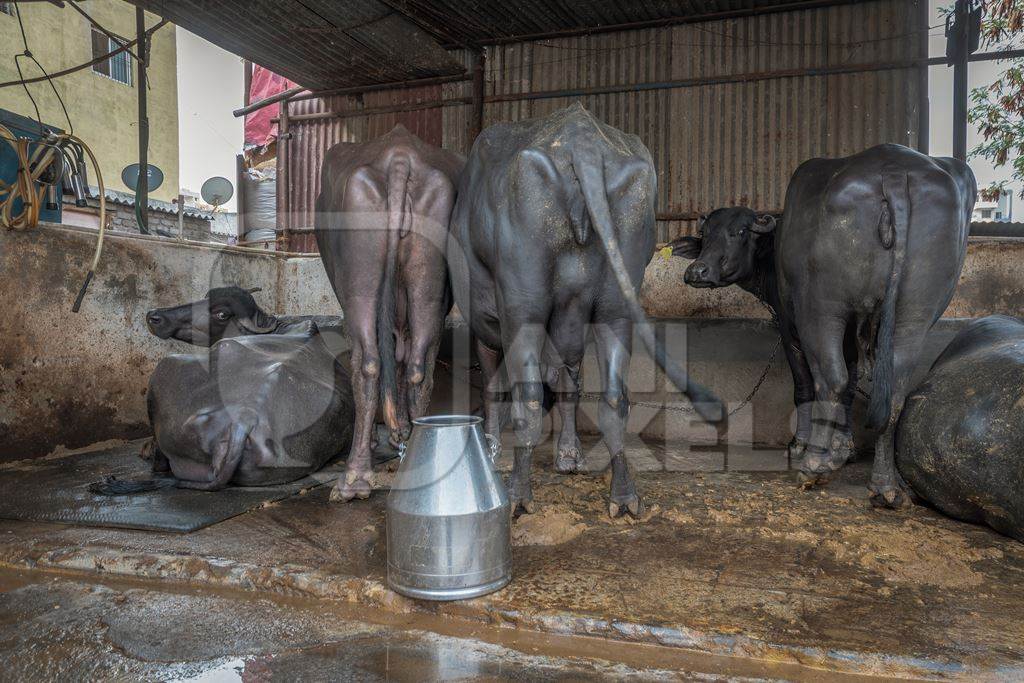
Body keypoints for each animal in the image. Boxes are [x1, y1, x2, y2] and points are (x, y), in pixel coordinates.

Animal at [313, 124, 466, 501]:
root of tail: (399, 158)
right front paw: (401, 433)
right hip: (429, 283)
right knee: (418, 364)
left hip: (360, 283)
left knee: (367, 360)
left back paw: (354, 478)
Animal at [448, 102, 720, 518]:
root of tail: (583, 140)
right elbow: (568, 383)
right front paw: (569, 455)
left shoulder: (486, 319)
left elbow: (497, 386)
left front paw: (494, 452)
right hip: (615, 302)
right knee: (613, 398)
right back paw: (623, 498)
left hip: (524, 304)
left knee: (527, 396)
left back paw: (517, 496)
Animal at [671, 143, 974, 507]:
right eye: (705, 234)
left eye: (740, 232)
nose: (697, 271)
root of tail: (893, 170)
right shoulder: (854, 333)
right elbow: (853, 384)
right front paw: (843, 448)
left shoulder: (790, 326)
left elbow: (805, 385)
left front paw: (803, 445)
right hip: (914, 312)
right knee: (894, 391)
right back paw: (886, 486)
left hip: (822, 310)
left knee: (830, 380)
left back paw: (814, 465)